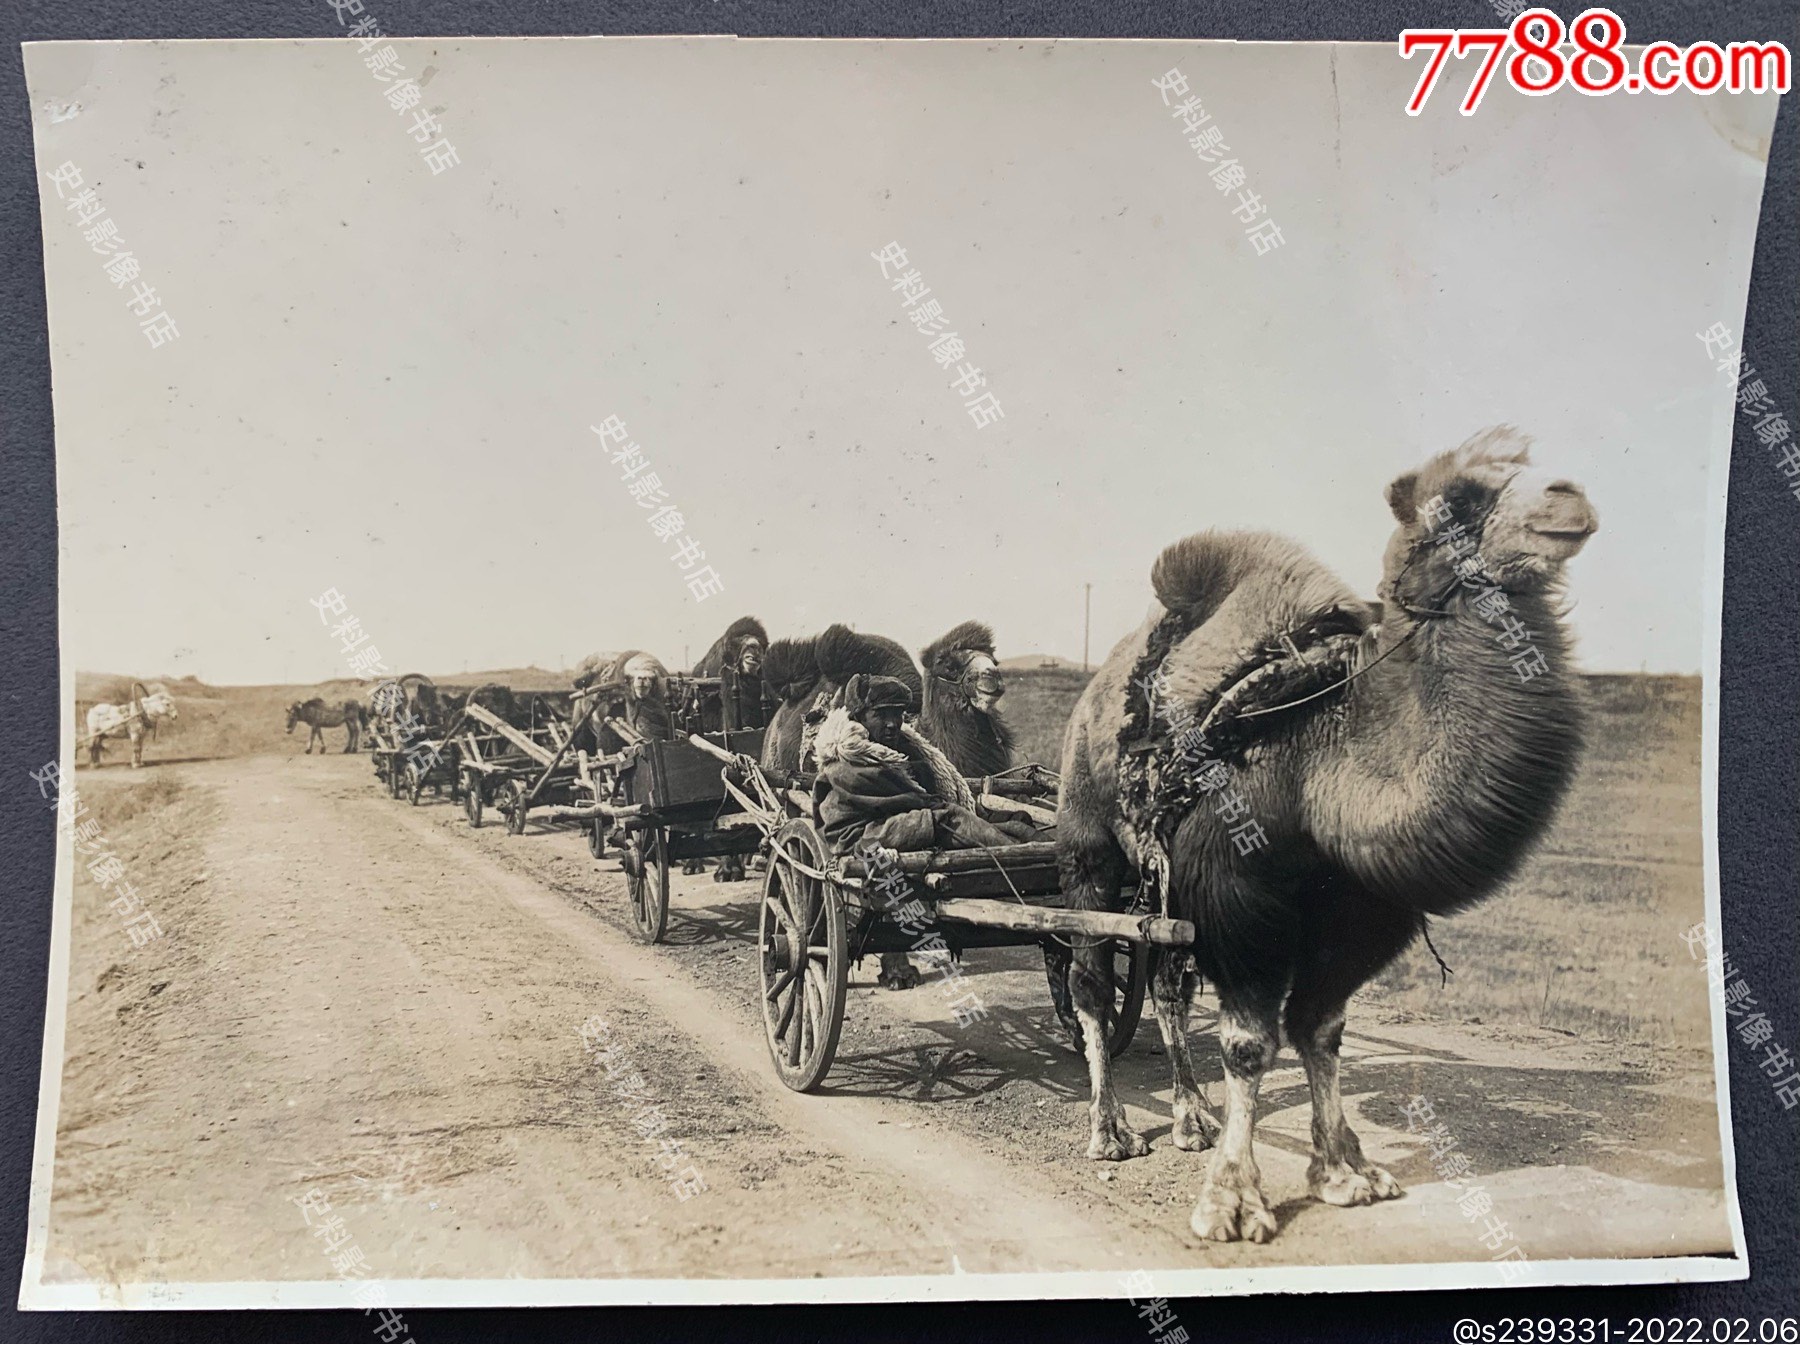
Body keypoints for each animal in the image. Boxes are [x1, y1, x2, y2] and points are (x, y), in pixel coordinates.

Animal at [1058, 432, 1598, 1238]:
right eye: (1460, 499)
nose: (1569, 499)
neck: (1322, 766)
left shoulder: (1361, 915)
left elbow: (1320, 1029)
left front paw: (1347, 1172)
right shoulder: (1237, 900)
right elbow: (1250, 1043)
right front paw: (1232, 1202)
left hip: (1159, 880)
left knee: (1165, 982)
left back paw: (1190, 1117)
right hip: (1088, 842)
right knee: (1091, 979)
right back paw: (1111, 1129)